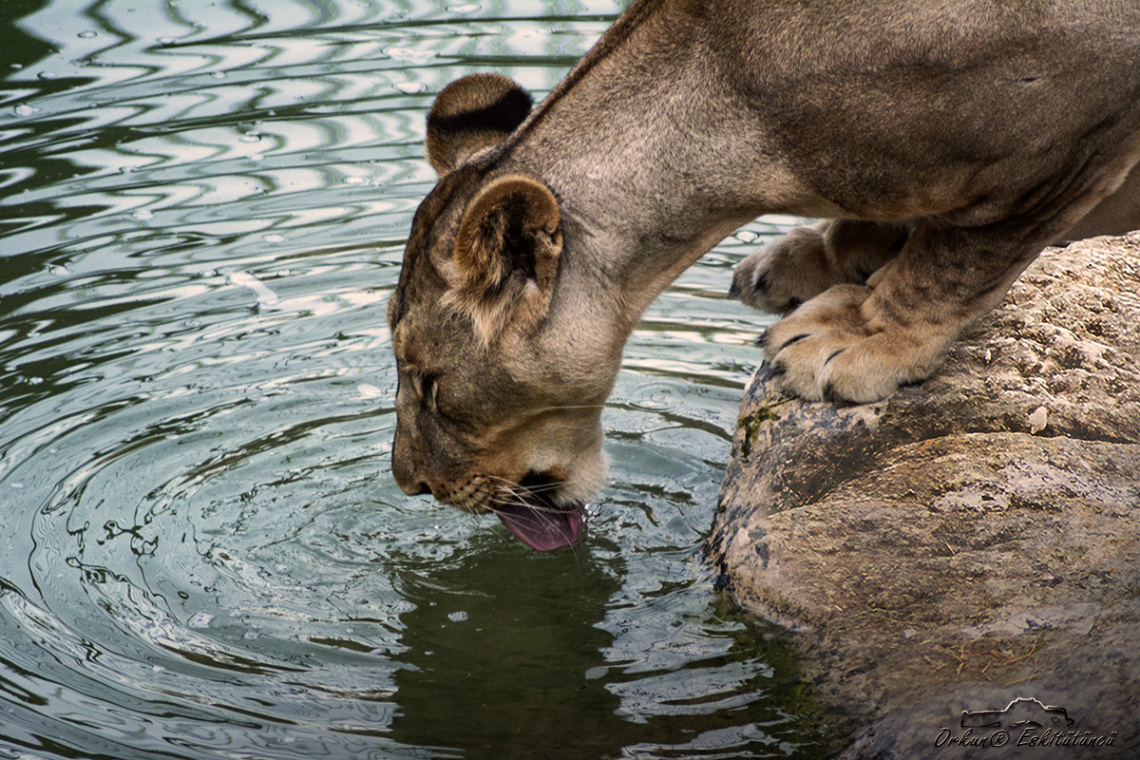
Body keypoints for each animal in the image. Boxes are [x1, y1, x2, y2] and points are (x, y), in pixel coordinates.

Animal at [387, 0, 1140, 549]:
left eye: (432, 388)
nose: (408, 485)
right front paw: (819, 261)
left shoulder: (1069, 138)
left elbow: (952, 256)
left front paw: (859, 338)